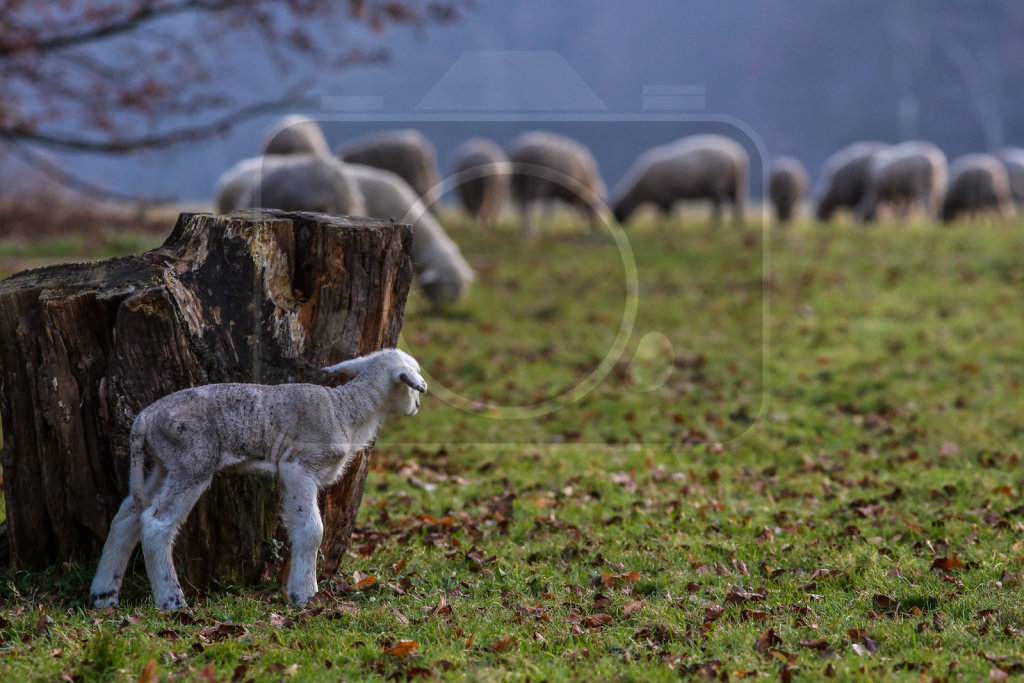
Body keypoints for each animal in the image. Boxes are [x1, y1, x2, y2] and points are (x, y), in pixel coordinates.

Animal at [92, 350, 428, 610]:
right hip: (192, 460)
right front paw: (306, 594)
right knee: (155, 523)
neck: (346, 411)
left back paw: (104, 595)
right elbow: (313, 529)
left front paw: (295, 585)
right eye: (413, 381)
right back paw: (171, 600)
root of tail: (145, 417)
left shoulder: (290, 474)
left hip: (164, 463)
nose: (418, 406)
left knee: (127, 516)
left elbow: (297, 526)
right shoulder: (299, 466)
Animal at [602, 135, 749, 225]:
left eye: (616, 211)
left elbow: (665, 214)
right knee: (737, 204)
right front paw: (669, 226)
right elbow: (668, 213)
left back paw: (714, 224)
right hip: (735, 185)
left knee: (718, 207)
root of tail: (736, 157)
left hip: (718, 185)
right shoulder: (668, 197)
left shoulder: (665, 196)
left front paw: (665, 226)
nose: (617, 226)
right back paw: (737, 224)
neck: (641, 190)